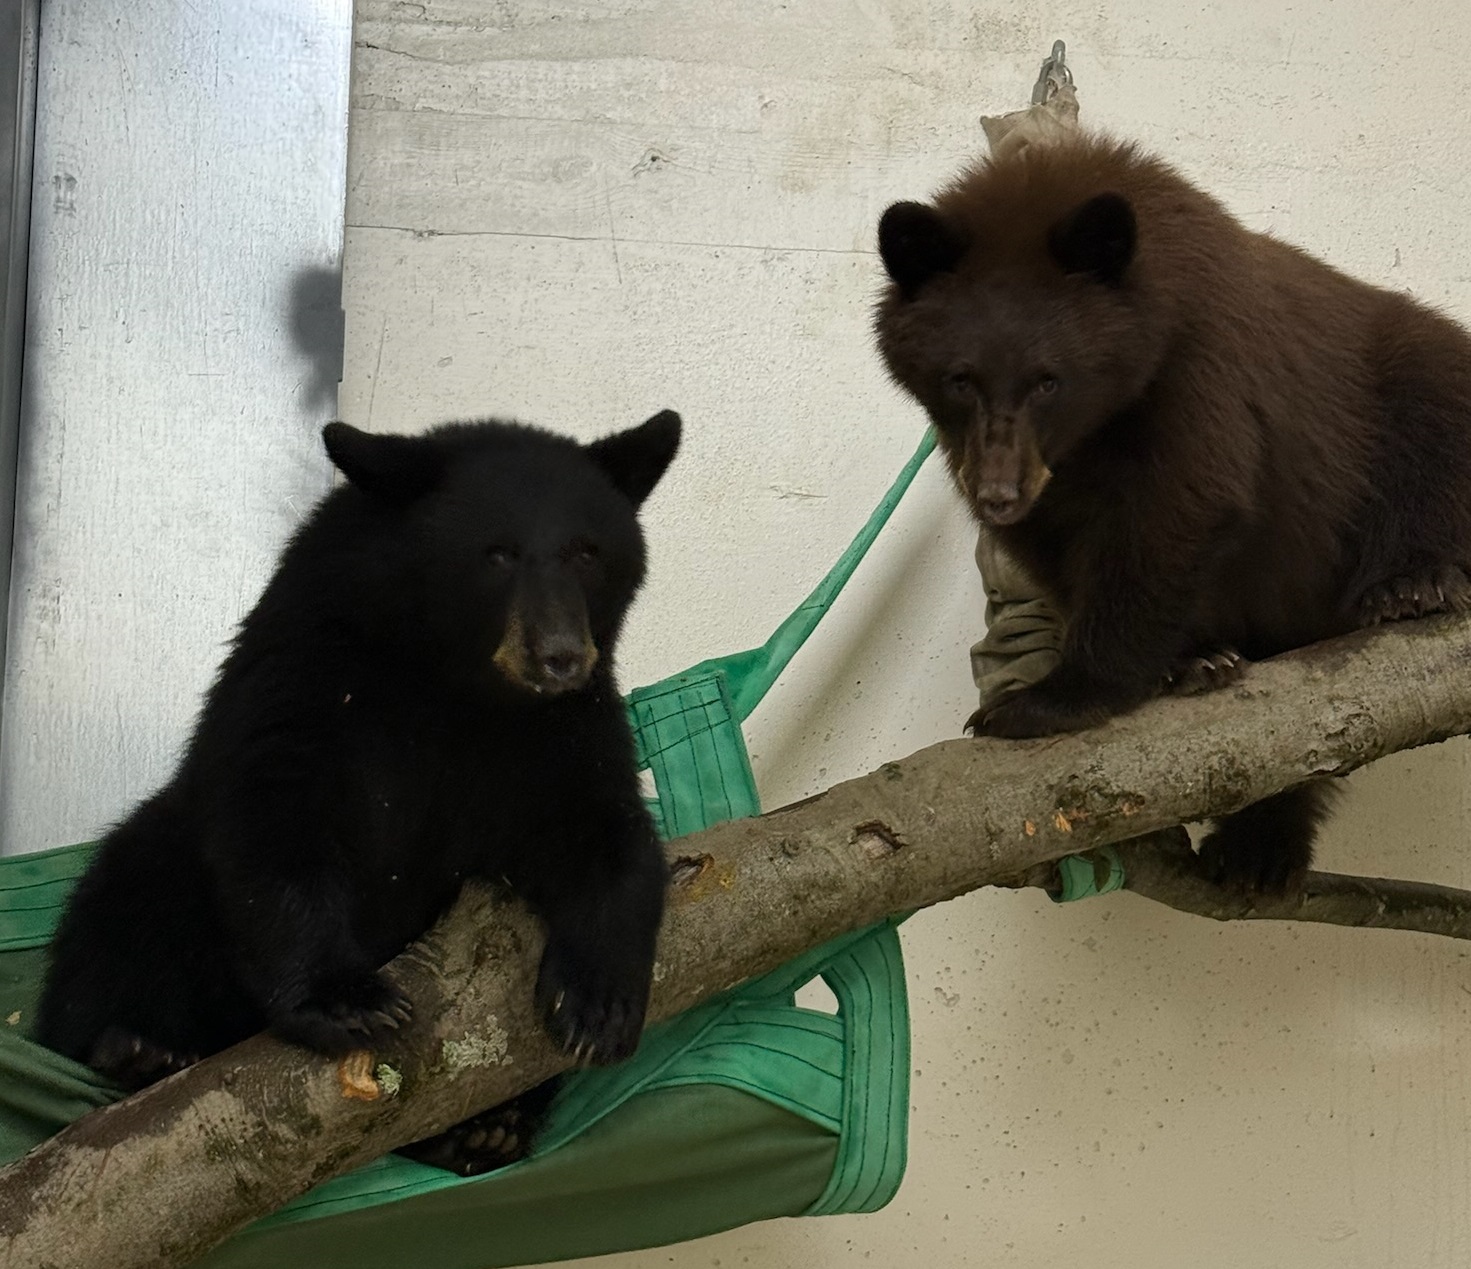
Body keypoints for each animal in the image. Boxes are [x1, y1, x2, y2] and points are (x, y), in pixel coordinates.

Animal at [35, 409, 681, 1174]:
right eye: (496, 554)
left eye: (588, 552)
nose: (560, 655)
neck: (459, 683)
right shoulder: (315, 666)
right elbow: (279, 816)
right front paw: (349, 1000)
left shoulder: (564, 727)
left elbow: (606, 829)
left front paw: (596, 1003)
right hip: (158, 866)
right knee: (118, 910)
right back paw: (136, 1049)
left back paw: (484, 1128)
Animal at [872, 133, 1471, 892]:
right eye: (958, 378)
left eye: (1048, 379)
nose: (998, 497)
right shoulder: (1008, 462)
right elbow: (1058, 549)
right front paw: (1190, 661)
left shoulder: (1197, 363)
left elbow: (1180, 508)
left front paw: (1044, 699)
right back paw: (1254, 850)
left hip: (1404, 391)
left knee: (1431, 421)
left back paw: (1411, 585)